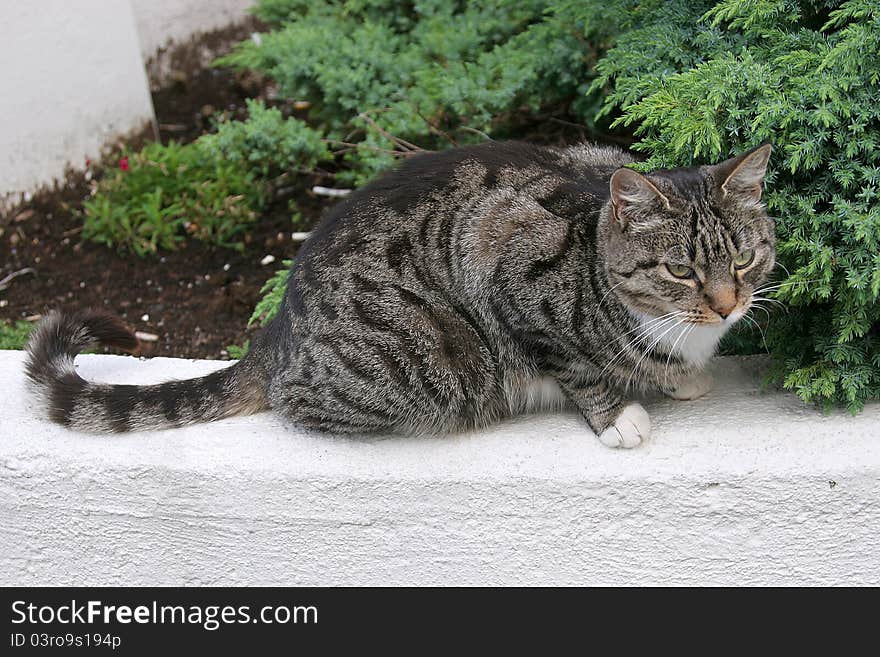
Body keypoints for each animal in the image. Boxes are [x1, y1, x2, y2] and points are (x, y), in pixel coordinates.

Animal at [24, 138, 772, 446]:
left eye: (743, 258)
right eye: (680, 271)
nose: (727, 304)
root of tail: (276, 333)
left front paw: (678, 376)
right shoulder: (498, 246)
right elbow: (575, 364)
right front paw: (618, 415)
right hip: (422, 369)